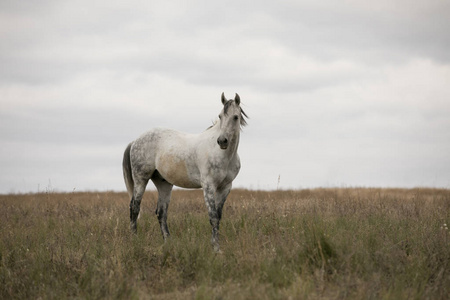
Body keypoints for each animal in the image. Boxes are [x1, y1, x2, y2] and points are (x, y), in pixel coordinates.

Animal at [123, 92, 248, 251]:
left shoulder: (225, 187)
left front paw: (217, 247)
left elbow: (218, 216)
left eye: (235, 117)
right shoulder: (208, 186)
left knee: (161, 213)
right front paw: (215, 248)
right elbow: (213, 217)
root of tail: (135, 141)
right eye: (220, 116)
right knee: (134, 208)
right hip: (141, 179)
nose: (222, 141)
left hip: (164, 184)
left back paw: (168, 242)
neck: (223, 154)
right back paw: (135, 240)